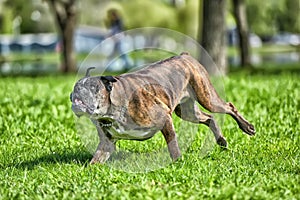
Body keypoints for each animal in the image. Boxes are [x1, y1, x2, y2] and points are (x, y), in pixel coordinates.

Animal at [71, 52, 255, 165]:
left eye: (93, 87)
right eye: (75, 87)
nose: (76, 93)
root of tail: (184, 56)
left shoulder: (165, 119)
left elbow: (172, 145)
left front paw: (178, 162)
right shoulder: (106, 144)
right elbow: (95, 161)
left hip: (207, 98)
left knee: (229, 107)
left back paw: (247, 127)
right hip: (188, 112)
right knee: (210, 118)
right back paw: (221, 140)